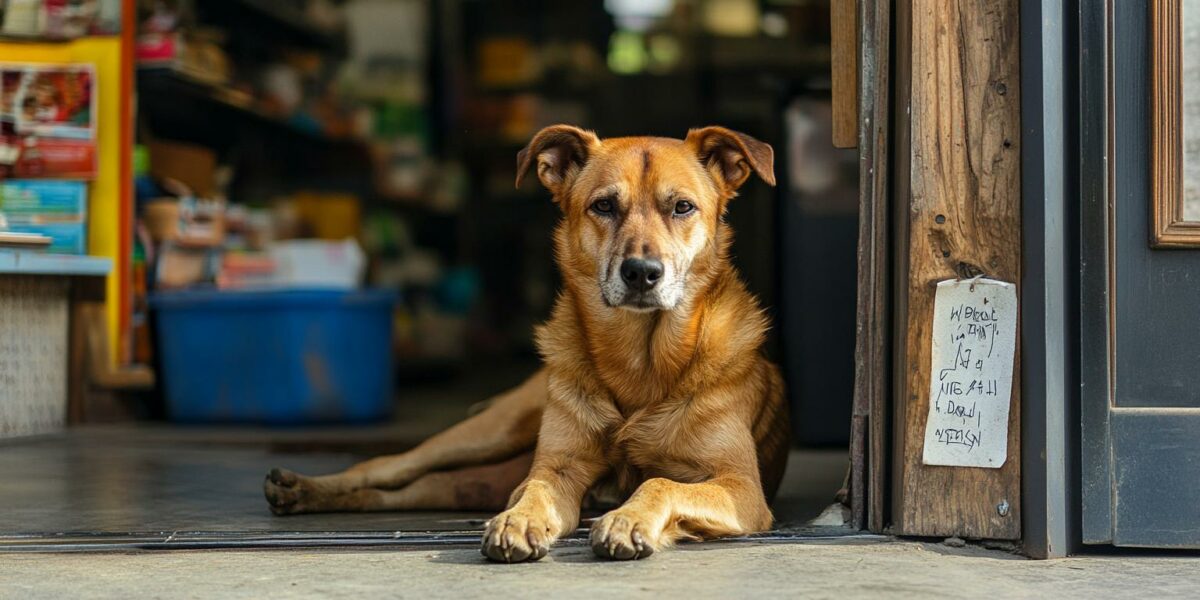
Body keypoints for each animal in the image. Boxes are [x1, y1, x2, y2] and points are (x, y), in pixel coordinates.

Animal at [262, 124, 787, 559]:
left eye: (682, 207)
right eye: (603, 206)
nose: (641, 273)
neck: (639, 359)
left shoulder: (741, 488)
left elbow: (660, 482)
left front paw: (627, 520)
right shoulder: (555, 470)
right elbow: (536, 490)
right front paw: (519, 521)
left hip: (474, 478)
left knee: (407, 491)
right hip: (486, 435)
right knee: (387, 467)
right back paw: (303, 487)